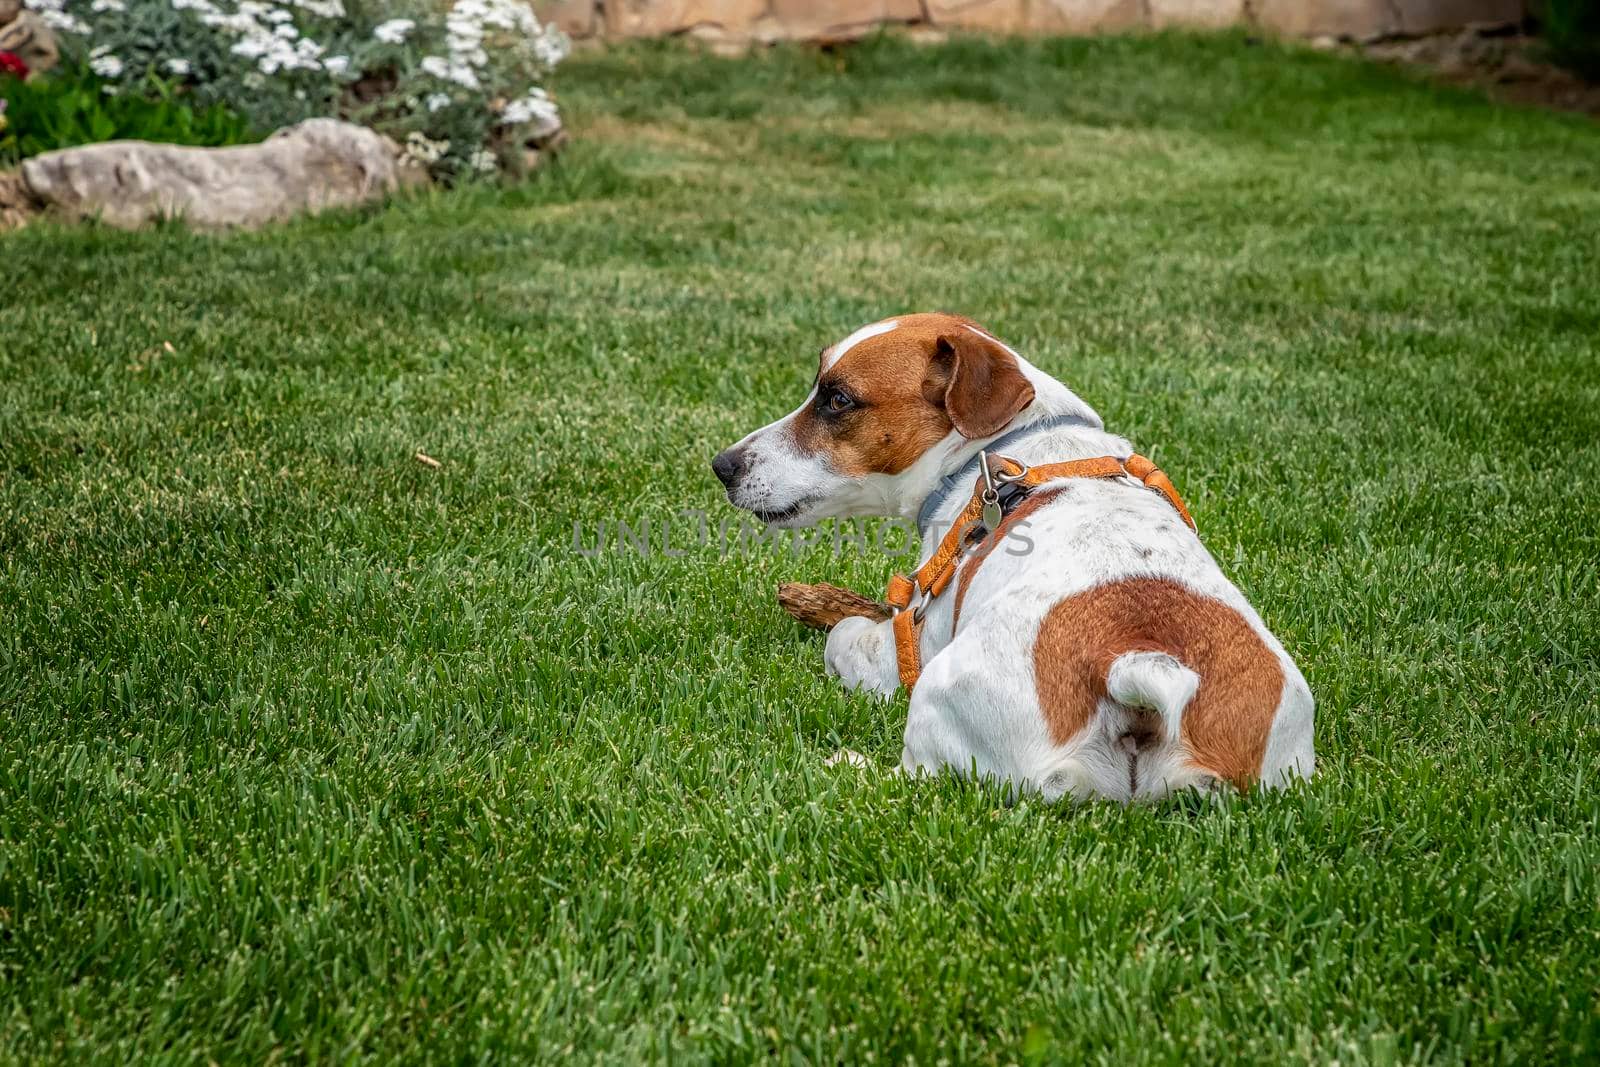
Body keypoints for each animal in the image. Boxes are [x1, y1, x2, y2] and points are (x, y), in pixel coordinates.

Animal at [713, 313, 1312, 806]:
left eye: (837, 400)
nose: (722, 465)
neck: (1004, 450)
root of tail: (1134, 665)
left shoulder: (913, 645)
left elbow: (846, 635)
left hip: (936, 701)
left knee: (917, 776)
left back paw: (847, 765)